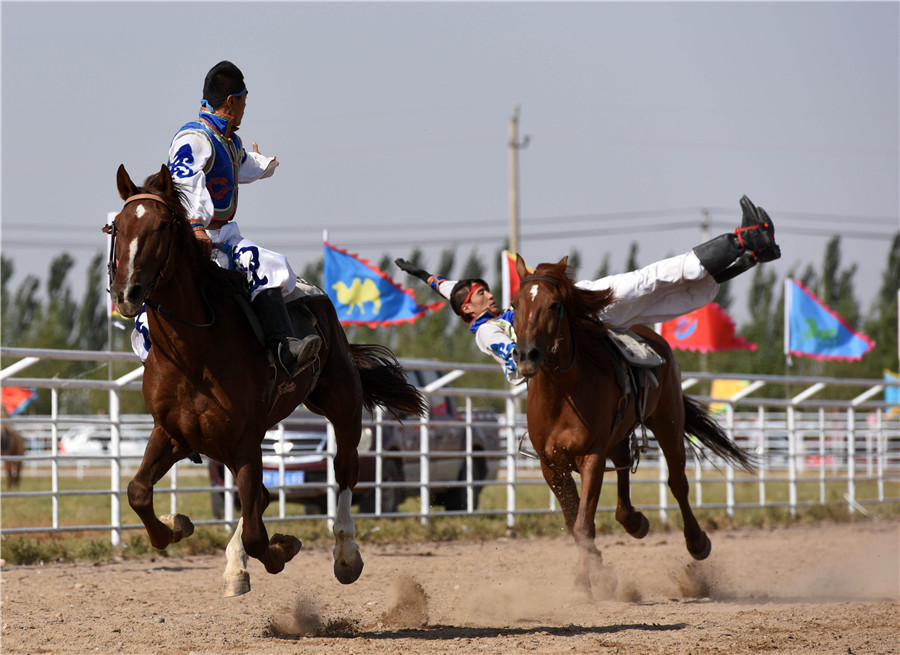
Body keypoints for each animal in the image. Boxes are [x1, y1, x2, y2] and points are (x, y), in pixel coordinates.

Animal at [108, 165, 426, 600]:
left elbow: (258, 533)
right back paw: (235, 565)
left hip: (341, 404)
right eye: (117, 227)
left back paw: (345, 555)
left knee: (344, 470)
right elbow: (138, 493)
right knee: (260, 496)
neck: (194, 353)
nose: (127, 292)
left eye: (161, 227)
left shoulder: (244, 440)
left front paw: (282, 548)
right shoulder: (173, 433)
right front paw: (178, 525)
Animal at [512, 256, 752, 600]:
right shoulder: (551, 465)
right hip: (619, 435)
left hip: (667, 423)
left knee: (677, 483)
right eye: (514, 304)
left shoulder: (592, 457)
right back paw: (634, 521)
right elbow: (575, 521)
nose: (526, 355)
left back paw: (697, 543)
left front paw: (586, 580)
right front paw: (598, 573)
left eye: (554, 305)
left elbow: (584, 524)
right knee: (625, 465)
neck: (562, 393)